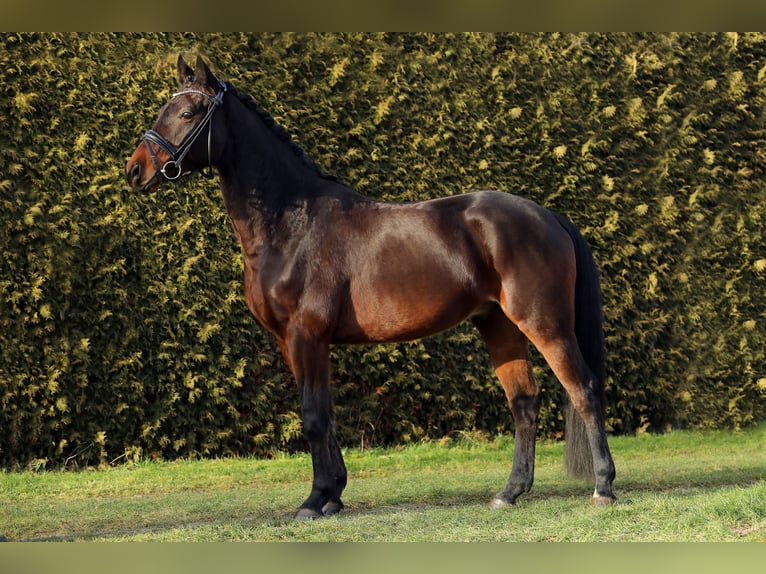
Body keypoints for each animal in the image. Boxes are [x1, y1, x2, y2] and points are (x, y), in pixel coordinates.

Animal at [126, 56, 616, 520]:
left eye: (188, 112)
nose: (135, 170)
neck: (292, 223)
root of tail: (547, 215)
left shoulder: (307, 334)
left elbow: (313, 418)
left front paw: (314, 500)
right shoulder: (291, 341)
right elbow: (324, 415)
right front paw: (333, 495)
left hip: (544, 323)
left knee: (584, 390)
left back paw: (603, 489)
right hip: (499, 325)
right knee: (524, 402)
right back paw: (509, 493)